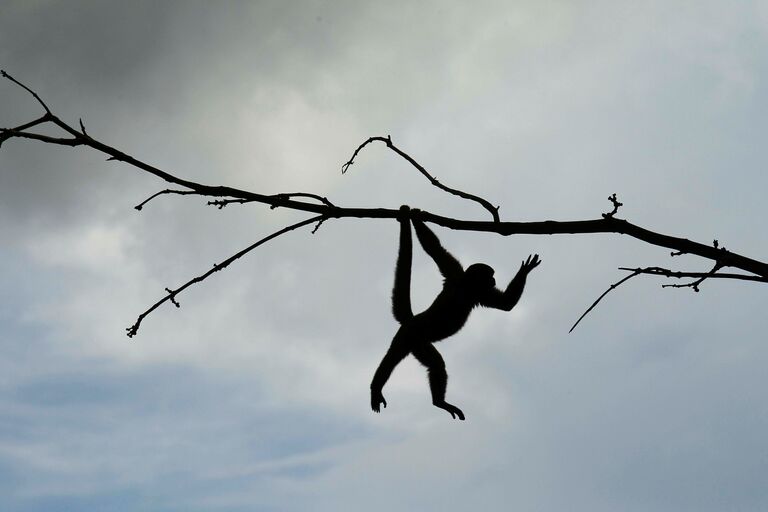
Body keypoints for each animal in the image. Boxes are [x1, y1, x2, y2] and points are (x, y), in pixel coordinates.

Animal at [370, 206, 540, 422]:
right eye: (491, 275)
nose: (494, 280)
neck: (466, 287)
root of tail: (413, 319)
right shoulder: (457, 275)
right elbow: (434, 248)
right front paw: (415, 215)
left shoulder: (477, 291)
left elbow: (506, 304)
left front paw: (525, 270)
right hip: (412, 337)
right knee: (416, 361)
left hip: (413, 342)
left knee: (412, 361)